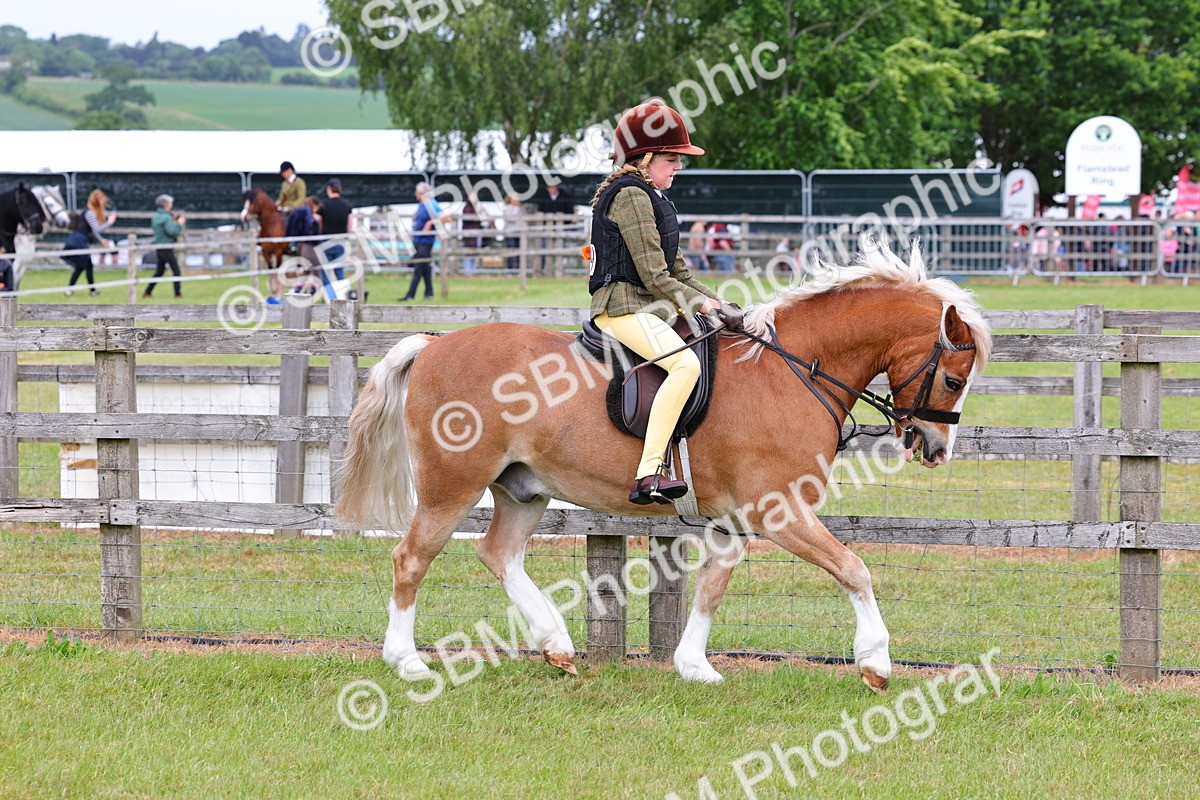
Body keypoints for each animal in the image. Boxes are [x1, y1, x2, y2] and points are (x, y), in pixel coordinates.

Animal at [335, 241, 992, 691]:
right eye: (954, 378)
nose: (935, 447)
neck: (790, 370)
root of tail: (432, 345)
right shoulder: (781, 512)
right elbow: (854, 569)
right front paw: (876, 662)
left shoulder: (736, 521)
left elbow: (713, 587)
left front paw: (694, 665)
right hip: (452, 486)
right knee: (411, 558)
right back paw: (406, 660)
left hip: (523, 490)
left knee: (500, 556)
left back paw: (557, 645)